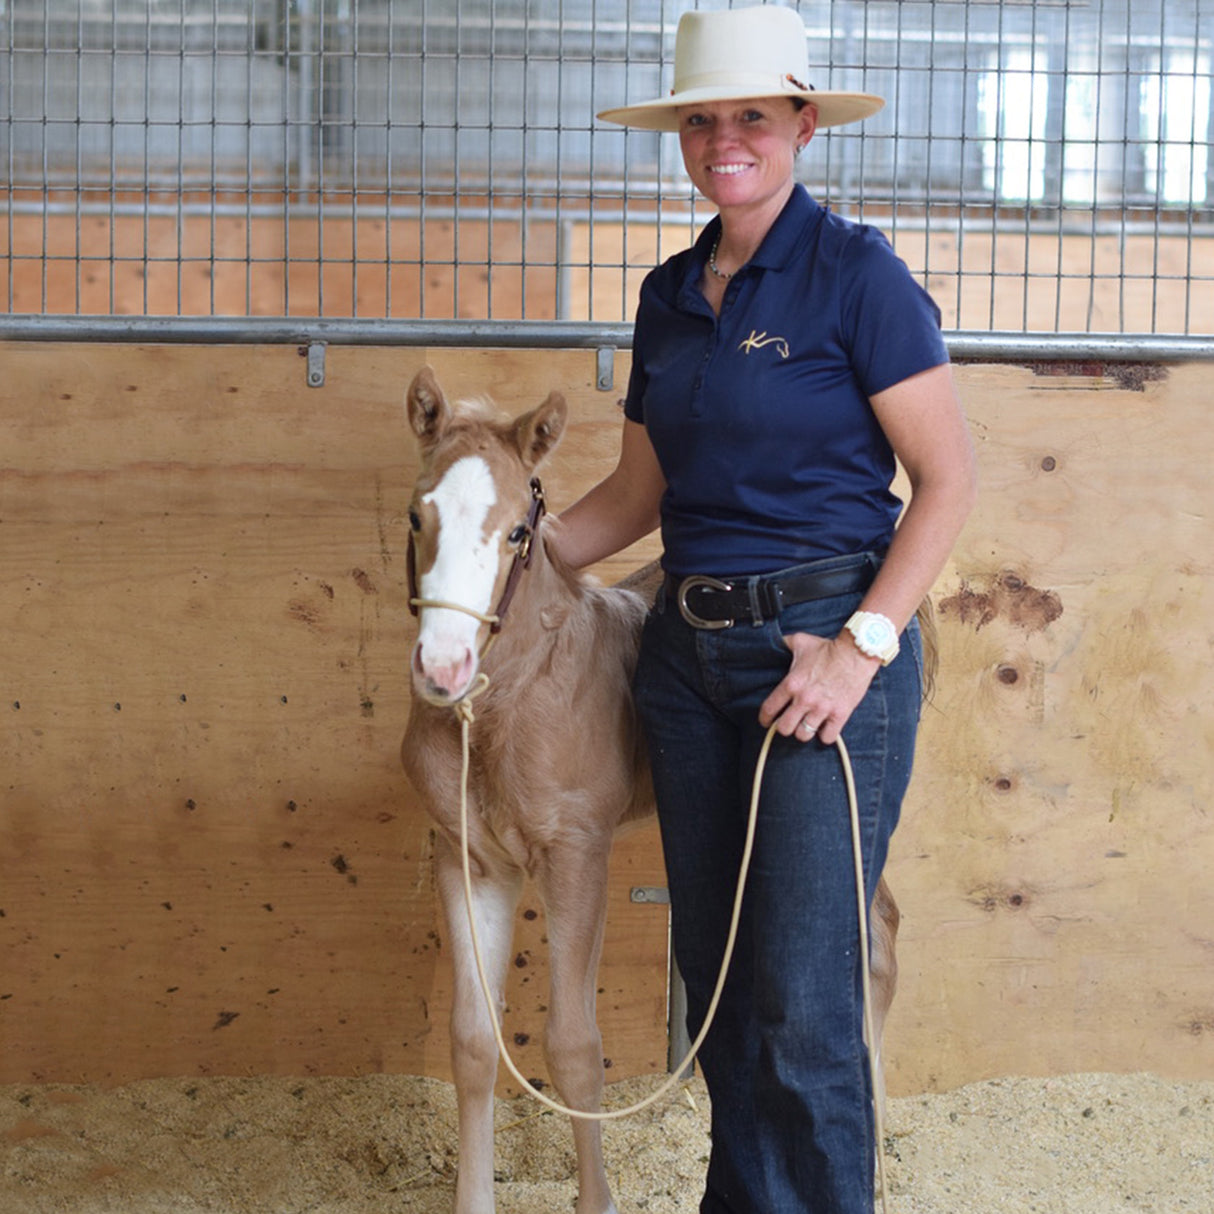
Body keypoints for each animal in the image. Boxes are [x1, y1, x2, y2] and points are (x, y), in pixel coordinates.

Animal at [399, 365, 903, 1214]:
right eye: (416, 514)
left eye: (517, 532)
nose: (443, 666)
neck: (503, 709)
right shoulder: (466, 857)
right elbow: (472, 1042)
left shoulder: (577, 855)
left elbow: (574, 1047)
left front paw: (597, 1199)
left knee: (875, 944)